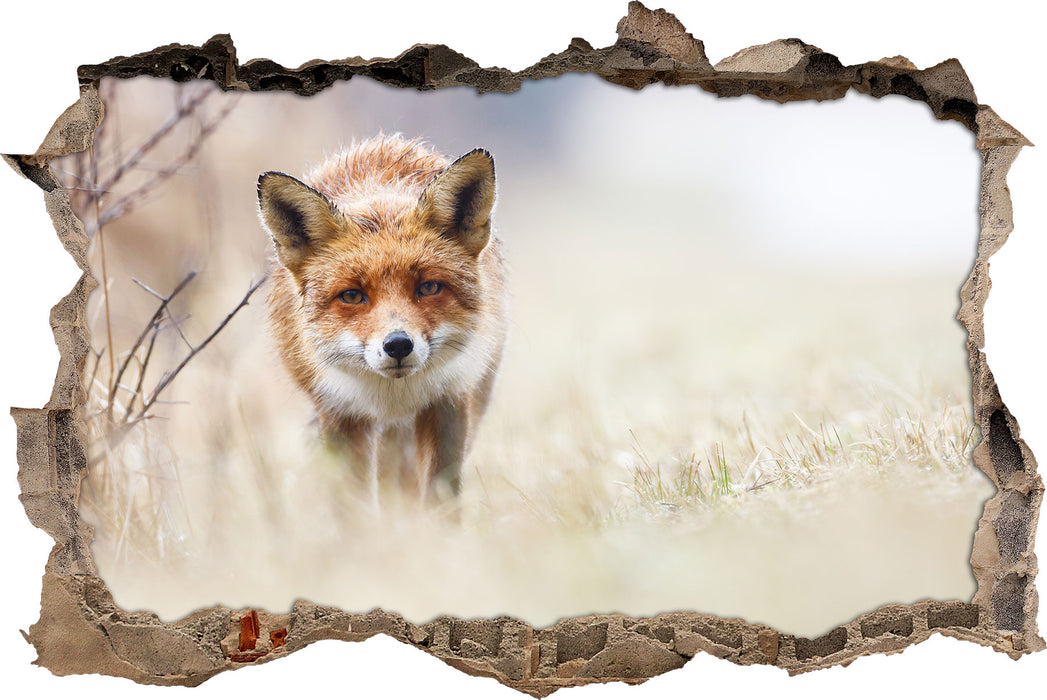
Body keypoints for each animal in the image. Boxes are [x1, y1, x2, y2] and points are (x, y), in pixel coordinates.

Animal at [257, 135, 508, 500]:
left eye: (428, 287)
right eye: (352, 296)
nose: (398, 345)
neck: (394, 396)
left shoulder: (448, 401)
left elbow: (439, 496)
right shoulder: (339, 413)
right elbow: (353, 502)